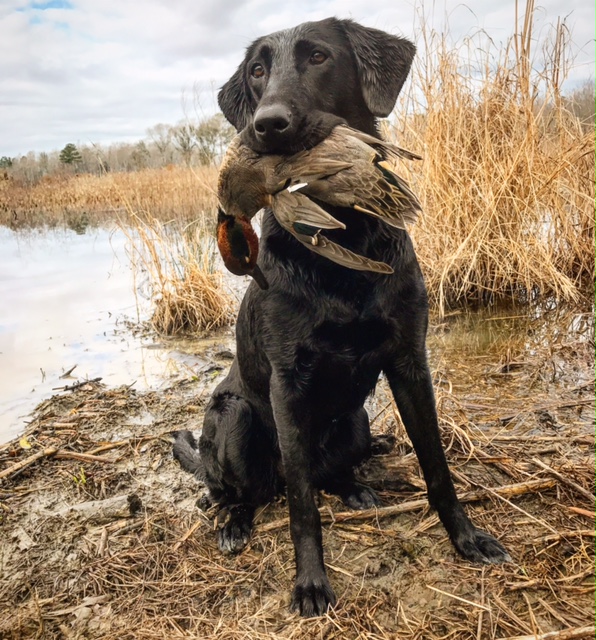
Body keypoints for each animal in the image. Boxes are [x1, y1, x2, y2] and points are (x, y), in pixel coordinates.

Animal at [173, 17, 512, 616]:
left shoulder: (410, 361)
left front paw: (466, 537)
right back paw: (234, 522)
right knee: (244, 490)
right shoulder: (287, 384)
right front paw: (310, 581)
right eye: (256, 70)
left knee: (324, 474)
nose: (267, 125)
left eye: (318, 57)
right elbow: (302, 509)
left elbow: (437, 466)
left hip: (354, 422)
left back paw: (355, 488)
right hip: (235, 418)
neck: (344, 242)